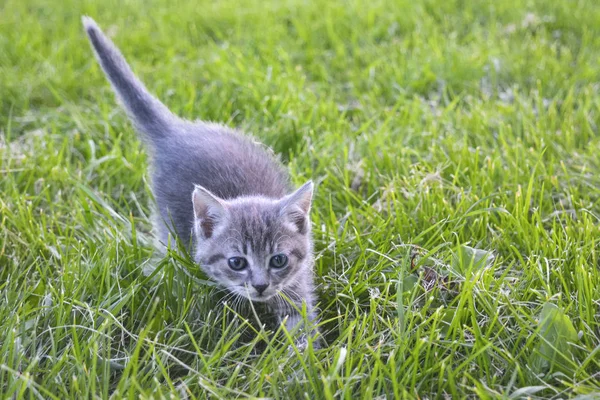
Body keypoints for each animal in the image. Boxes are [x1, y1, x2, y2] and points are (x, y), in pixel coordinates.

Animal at [82, 17, 322, 346]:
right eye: (237, 262)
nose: (260, 286)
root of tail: (178, 130)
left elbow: (302, 331)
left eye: (279, 260)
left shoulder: (297, 288)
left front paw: (303, 360)